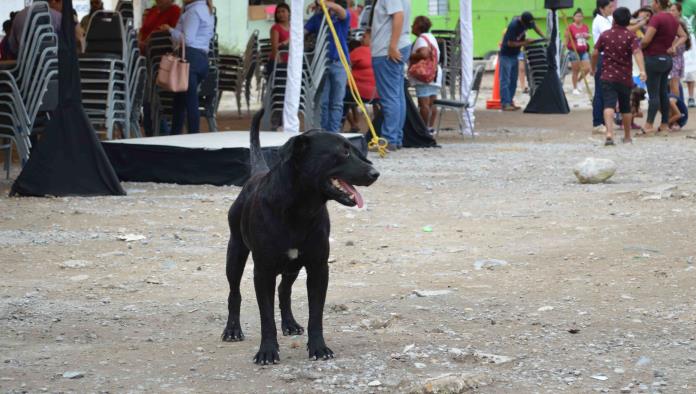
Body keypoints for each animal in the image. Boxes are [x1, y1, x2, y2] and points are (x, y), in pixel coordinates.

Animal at [223, 109, 380, 364]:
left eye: (356, 151)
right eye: (343, 152)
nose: (375, 173)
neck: (300, 209)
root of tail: (256, 173)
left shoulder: (318, 267)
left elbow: (315, 314)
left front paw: (319, 348)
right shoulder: (263, 271)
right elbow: (266, 317)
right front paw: (267, 351)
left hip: (293, 267)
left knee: (284, 291)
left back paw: (290, 324)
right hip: (235, 252)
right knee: (234, 293)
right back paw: (232, 330)